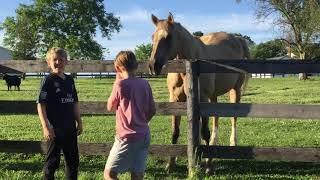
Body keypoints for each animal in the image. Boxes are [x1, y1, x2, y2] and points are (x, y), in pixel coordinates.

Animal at [148, 13, 250, 172]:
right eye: (153, 37)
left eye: (169, 36)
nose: (153, 66)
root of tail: (237, 39)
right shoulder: (175, 100)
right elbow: (175, 132)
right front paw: (170, 164)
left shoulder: (202, 98)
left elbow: (204, 132)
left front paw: (208, 165)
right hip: (213, 97)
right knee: (216, 119)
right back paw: (214, 145)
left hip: (235, 91)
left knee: (233, 117)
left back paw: (232, 144)